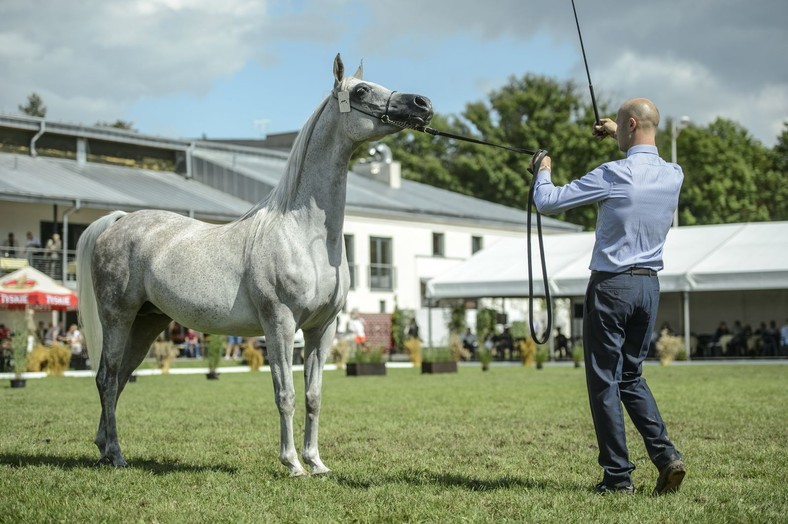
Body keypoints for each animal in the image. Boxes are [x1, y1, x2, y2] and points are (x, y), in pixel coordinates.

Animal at [77, 54, 434, 474]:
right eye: (361, 90)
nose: (422, 104)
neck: (303, 234)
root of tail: (118, 220)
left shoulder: (322, 329)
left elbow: (313, 396)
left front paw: (316, 462)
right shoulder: (279, 323)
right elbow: (286, 393)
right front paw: (292, 463)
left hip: (147, 323)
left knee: (119, 380)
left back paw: (105, 447)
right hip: (118, 317)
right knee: (107, 377)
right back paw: (116, 454)